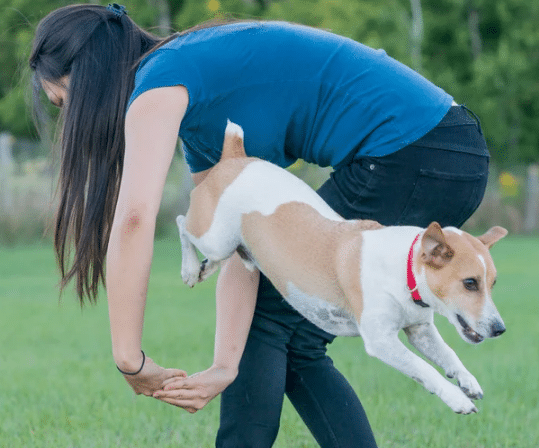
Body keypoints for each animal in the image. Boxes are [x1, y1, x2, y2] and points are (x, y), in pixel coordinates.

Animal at [178, 121, 510, 414]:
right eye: (470, 283)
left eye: (492, 283)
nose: (500, 329)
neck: (403, 269)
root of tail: (236, 158)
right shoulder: (381, 340)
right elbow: (424, 369)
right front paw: (457, 399)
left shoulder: (420, 330)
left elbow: (448, 353)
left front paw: (467, 380)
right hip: (215, 236)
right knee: (183, 223)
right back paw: (191, 268)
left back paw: (209, 267)